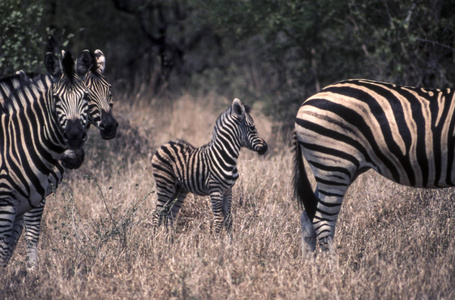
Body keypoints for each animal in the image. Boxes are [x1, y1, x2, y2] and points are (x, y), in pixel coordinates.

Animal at [0, 49, 91, 268]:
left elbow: (12, 245)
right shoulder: (9, 205)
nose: (74, 137)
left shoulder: (22, 204)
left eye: (86, 96)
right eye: (56, 98)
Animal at [151, 97, 268, 233]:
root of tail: (165, 144)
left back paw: (169, 238)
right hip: (165, 184)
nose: (265, 147)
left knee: (169, 215)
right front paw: (217, 239)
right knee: (157, 214)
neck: (224, 155)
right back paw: (155, 238)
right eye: (252, 127)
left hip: (179, 189)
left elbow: (229, 220)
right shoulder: (215, 191)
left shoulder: (228, 190)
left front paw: (230, 239)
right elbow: (219, 221)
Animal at [294, 78, 455, 252]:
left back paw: (311, 260)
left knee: (308, 217)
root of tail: (305, 103)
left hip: (335, 169)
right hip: (334, 163)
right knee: (323, 222)